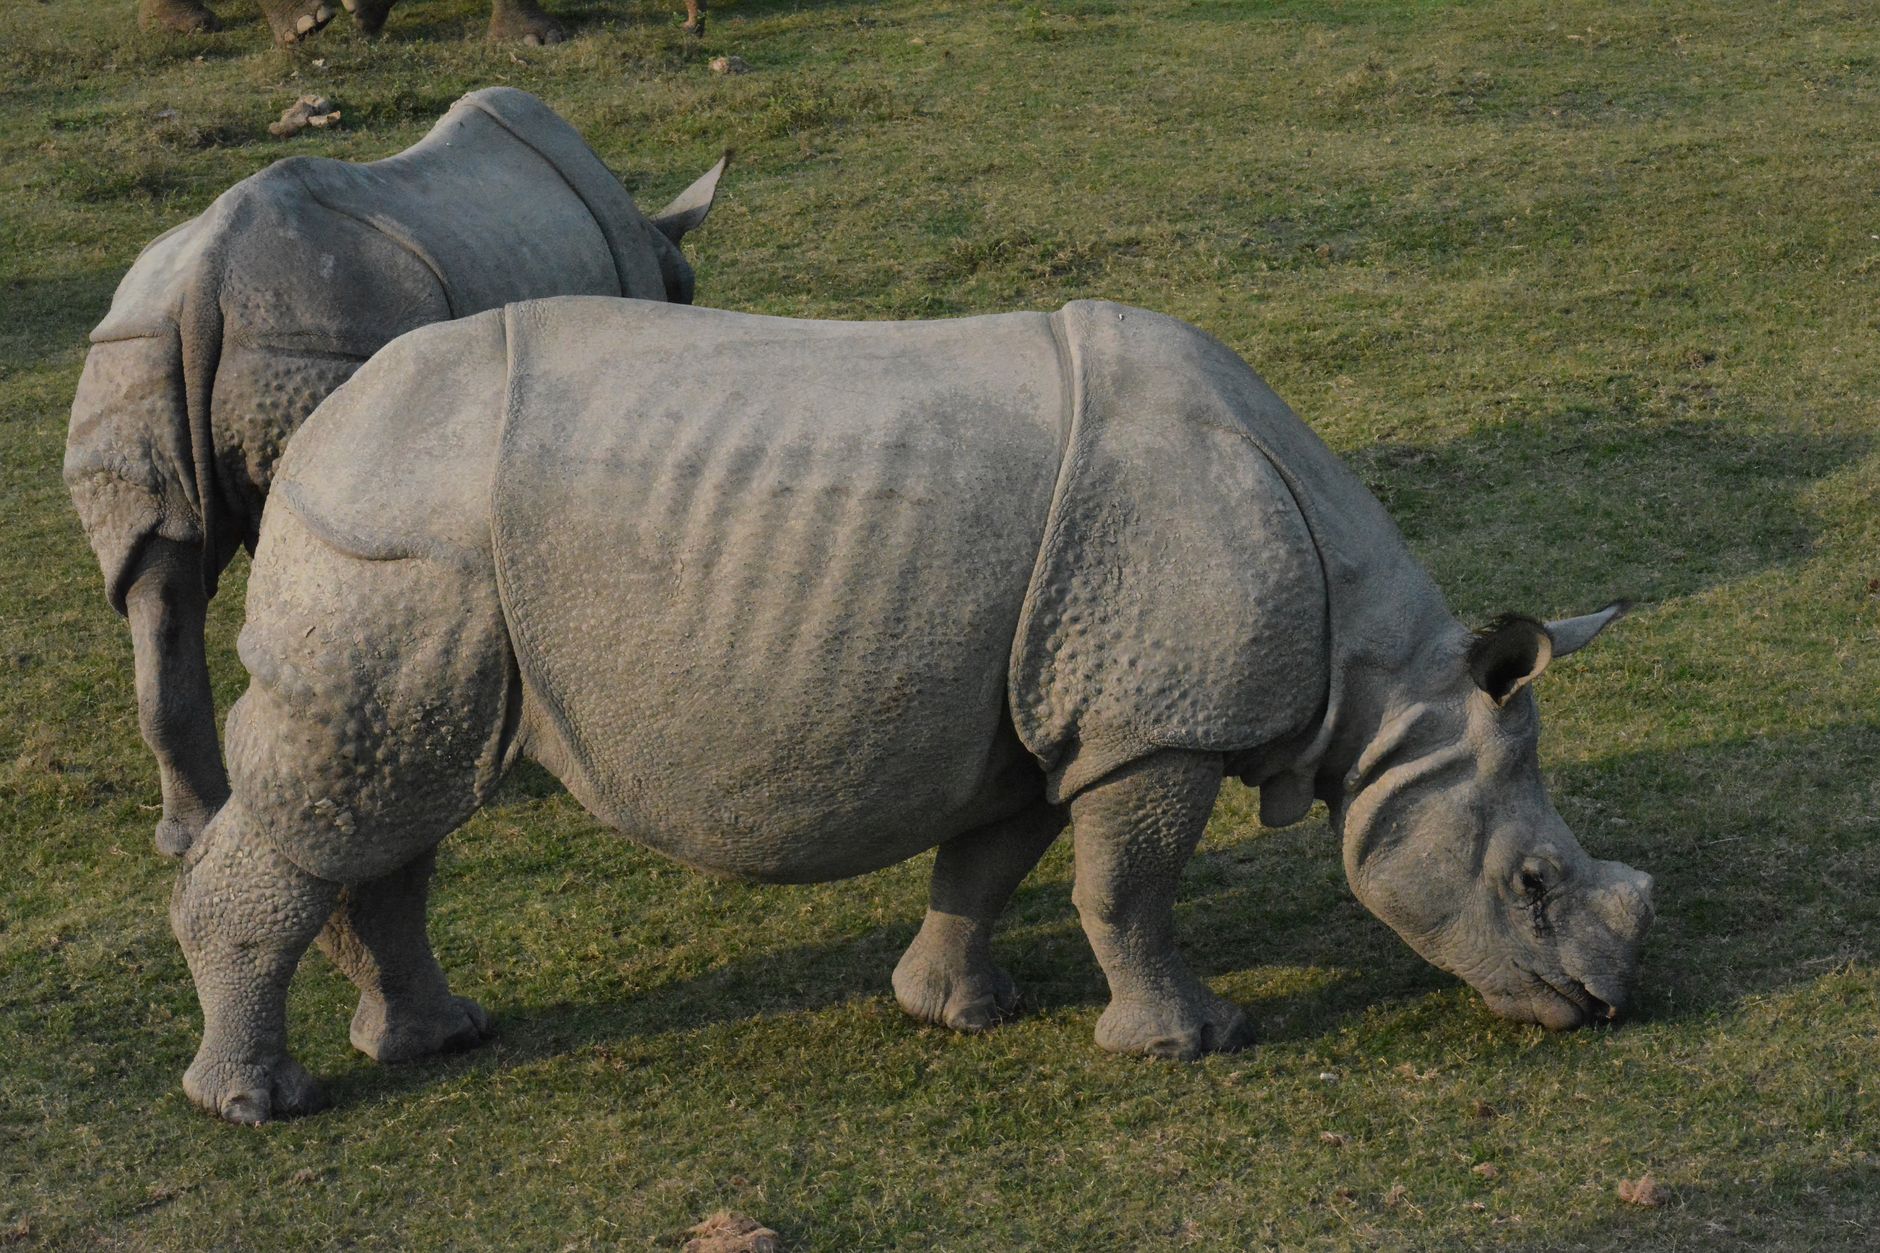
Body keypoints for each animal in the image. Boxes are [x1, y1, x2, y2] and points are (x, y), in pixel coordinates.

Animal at [168, 296, 1655, 1123]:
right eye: (1531, 881)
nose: (1601, 1008)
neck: (1386, 691)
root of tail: (319, 431)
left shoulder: (1039, 712)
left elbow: (989, 864)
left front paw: (955, 1011)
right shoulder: (1153, 728)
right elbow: (1128, 887)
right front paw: (1194, 1042)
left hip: (421, 551)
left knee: (395, 801)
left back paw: (439, 1037)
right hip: (396, 538)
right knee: (353, 803)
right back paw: (260, 1108)